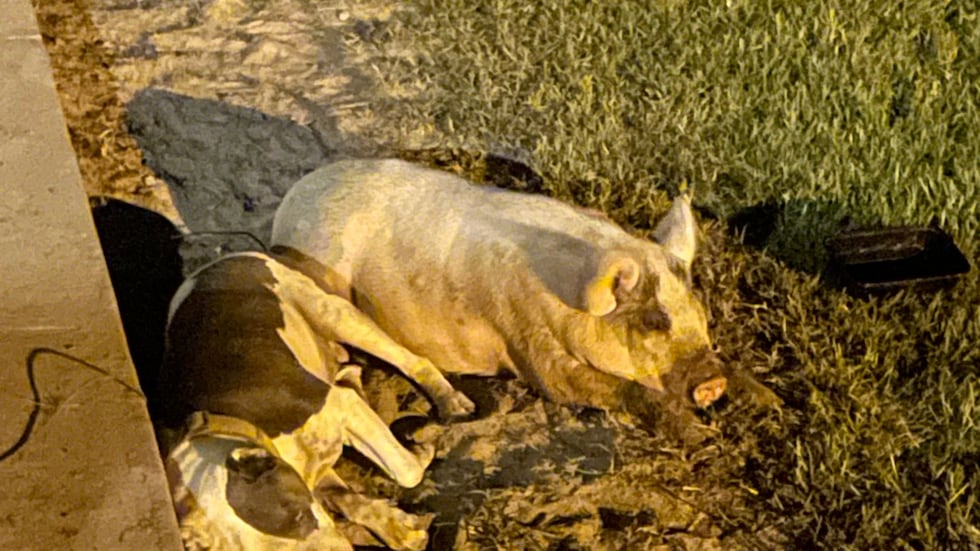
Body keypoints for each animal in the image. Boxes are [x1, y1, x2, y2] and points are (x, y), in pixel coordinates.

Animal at [160, 251, 467, 550]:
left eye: (297, 515)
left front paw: (420, 454)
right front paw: (397, 526)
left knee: (412, 360)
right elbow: (350, 499)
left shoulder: (342, 406)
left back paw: (449, 399)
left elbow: (407, 471)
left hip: (334, 314)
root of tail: (210, 264)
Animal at [270, 159, 731, 429]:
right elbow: (582, 385)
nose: (714, 380)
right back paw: (460, 409)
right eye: (655, 322)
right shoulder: (529, 341)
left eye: (699, 312)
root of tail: (293, 197)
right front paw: (690, 431)